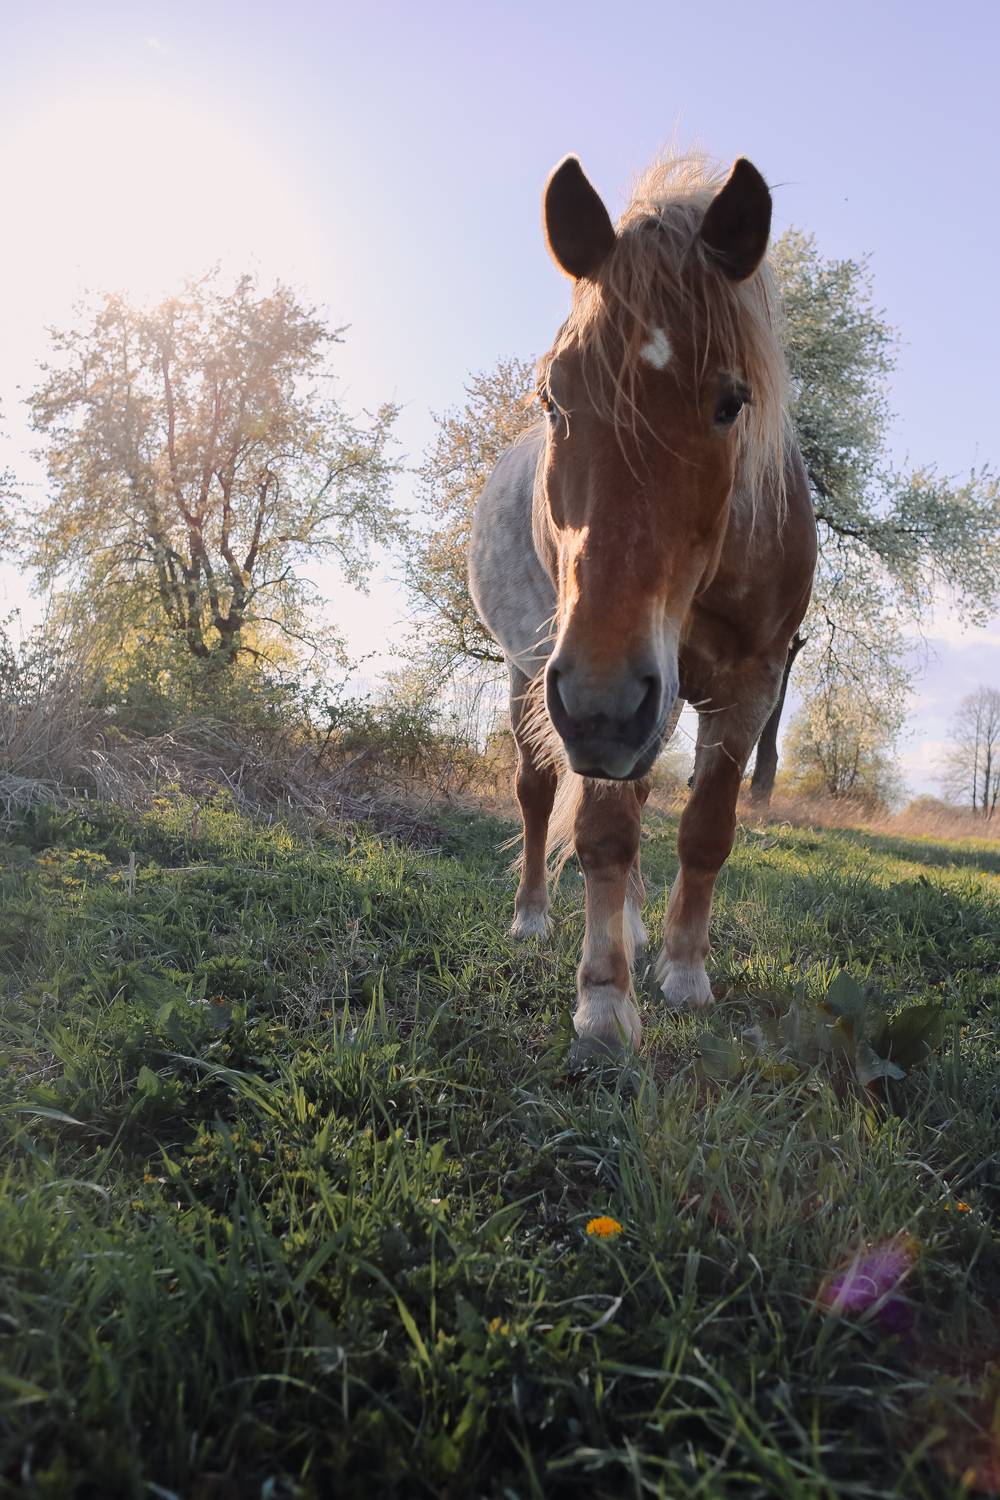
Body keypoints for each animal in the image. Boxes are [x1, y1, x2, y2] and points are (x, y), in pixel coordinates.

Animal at [468, 150, 817, 1054]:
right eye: (553, 397)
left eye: (731, 401)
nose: (600, 705)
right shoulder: (584, 683)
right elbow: (601, 832)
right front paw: (604, 997)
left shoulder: (750, 684)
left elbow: (705, 830)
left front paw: (685, 971)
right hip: (531, 675)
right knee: (537, 793)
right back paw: (533, 917)